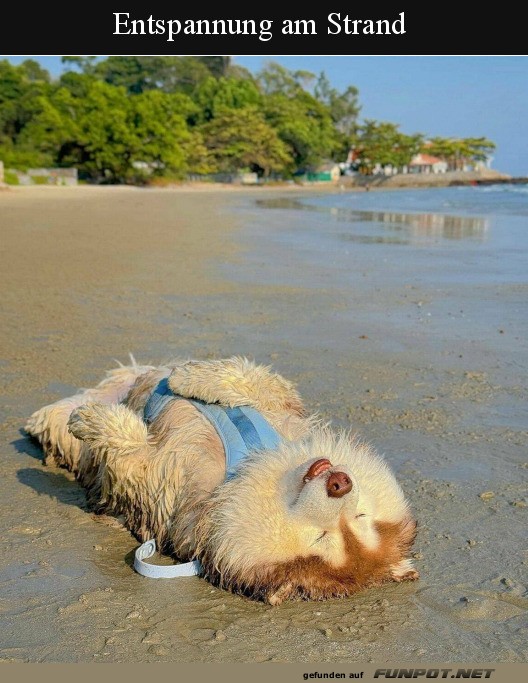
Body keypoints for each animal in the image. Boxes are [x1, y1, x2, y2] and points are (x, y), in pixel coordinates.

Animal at [26, 358, 418, 604]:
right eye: (362, 517)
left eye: (323, 537)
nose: (340, 483)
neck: (249, 461)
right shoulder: (282, 406)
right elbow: (250, 378)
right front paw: (188, 376)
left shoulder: (159, 483)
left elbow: (129, 449)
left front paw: (93, 421)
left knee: (65, 418)